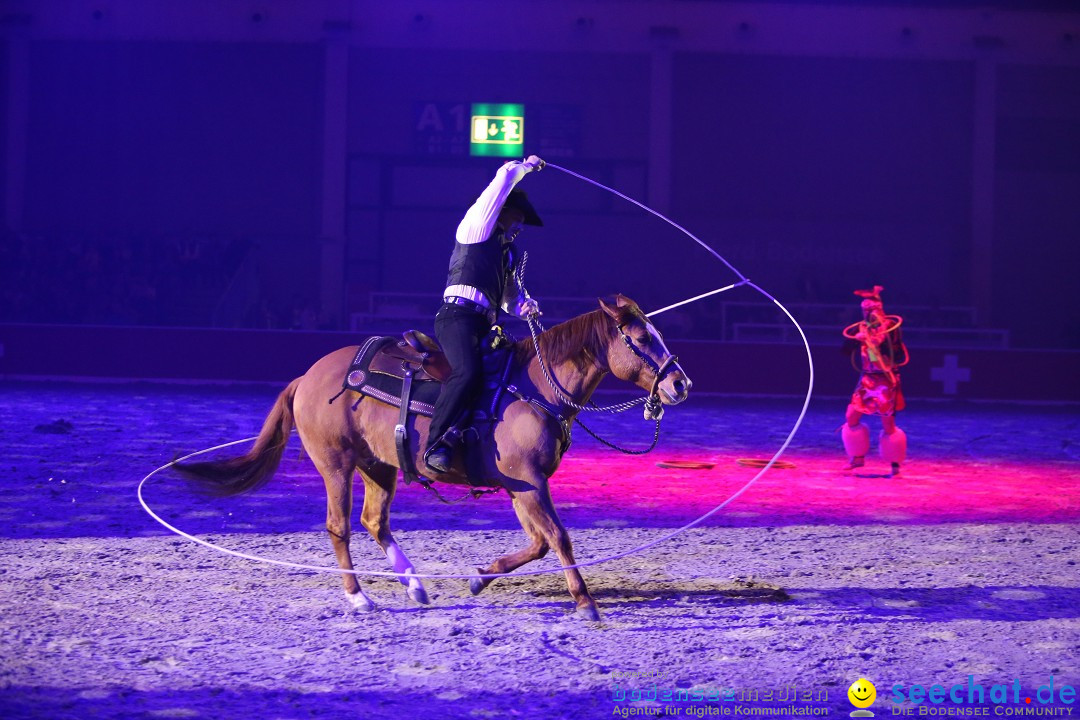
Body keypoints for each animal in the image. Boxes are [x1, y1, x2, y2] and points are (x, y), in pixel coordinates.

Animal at [171, 293, 686, 621]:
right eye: (642, 338)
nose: (681, 383)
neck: (533, 388)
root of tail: (308, 375)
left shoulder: (521, 486)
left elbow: (540, 543)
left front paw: (481, 577)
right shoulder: (529, 483)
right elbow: (558, 538)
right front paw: (585, 603)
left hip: (378, 465)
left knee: (374, 521)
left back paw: (415, 585)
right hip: (336, 464)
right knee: (339, 526)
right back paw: (359, 599)